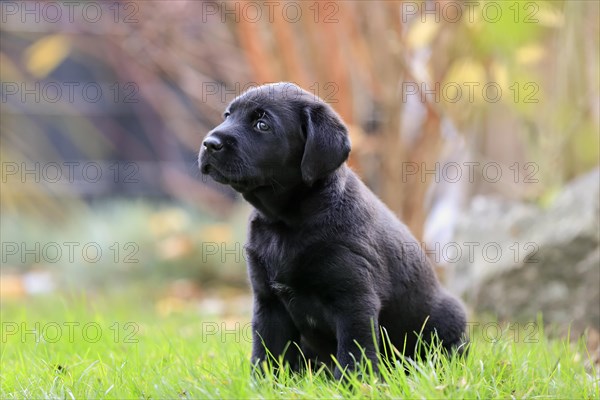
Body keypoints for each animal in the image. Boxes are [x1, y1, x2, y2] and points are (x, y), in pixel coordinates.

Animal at [199, 82, 466, 378]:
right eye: (227, 115)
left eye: (262, 124)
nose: (209, 143)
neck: (287, 222)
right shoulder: (269, 302)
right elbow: (268, 354)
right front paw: (264, 383)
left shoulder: (354, 300)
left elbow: (354, 354)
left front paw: (355, 384)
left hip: (448, 317)